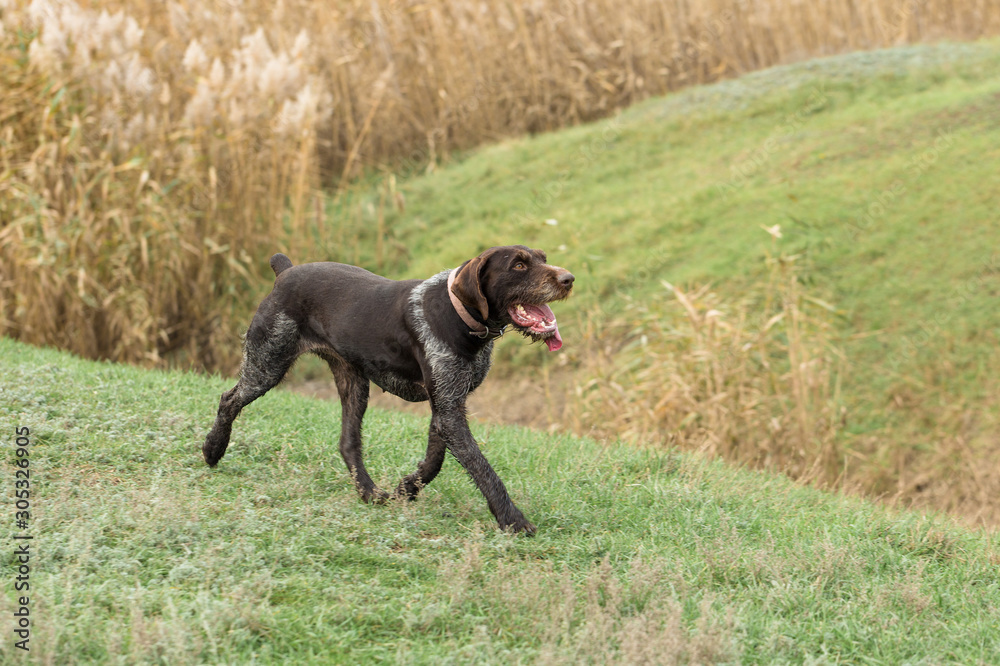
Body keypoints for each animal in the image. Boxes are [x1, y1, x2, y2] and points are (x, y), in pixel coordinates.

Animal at [205, 246, 572, 532]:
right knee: (228, 399)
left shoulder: (448, 403)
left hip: (353, 383)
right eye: (519, 265)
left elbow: (434, 462)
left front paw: (406, 489)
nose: (568, 279)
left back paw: (369, 493)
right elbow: (482, 468)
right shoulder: (449, 409)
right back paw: (213, 449)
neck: (459, 315)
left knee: (348, 443)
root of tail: (286, 271)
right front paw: (512, 519)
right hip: (266, 365)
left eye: (543, 258)